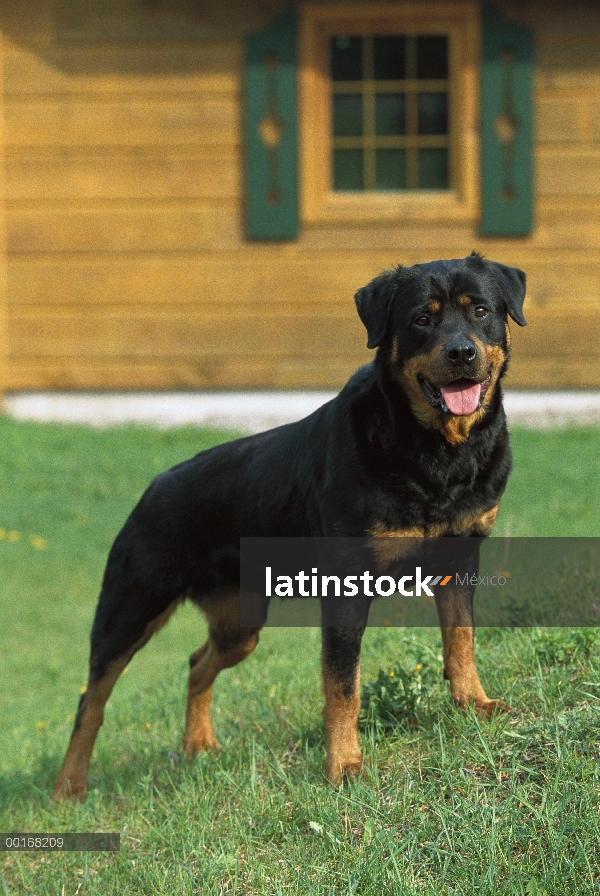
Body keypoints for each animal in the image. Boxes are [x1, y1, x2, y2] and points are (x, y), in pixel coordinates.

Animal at [54, 250, 528, 800]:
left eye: (480, 311)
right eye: (422, 320)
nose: (460, 352)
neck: (438, 452)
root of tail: (153, 487)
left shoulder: (461, 554)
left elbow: (461, 639)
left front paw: (475, 704)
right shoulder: (347, 586)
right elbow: (343, 686)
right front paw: (345, 766)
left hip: (240, 623)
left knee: (196, 664)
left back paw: (198, 745)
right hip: (131, 608)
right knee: (92, 698)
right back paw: (69, 787)